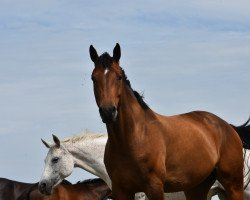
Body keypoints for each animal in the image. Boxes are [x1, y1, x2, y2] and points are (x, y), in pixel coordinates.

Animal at [89, 43, 244, 200]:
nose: (108, 111)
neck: (134, 138)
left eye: (119, 77)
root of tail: (228, 127)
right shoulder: (121, 191)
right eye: (93, 78)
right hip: (196, 187)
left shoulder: (155, 187)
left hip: (233, 185)